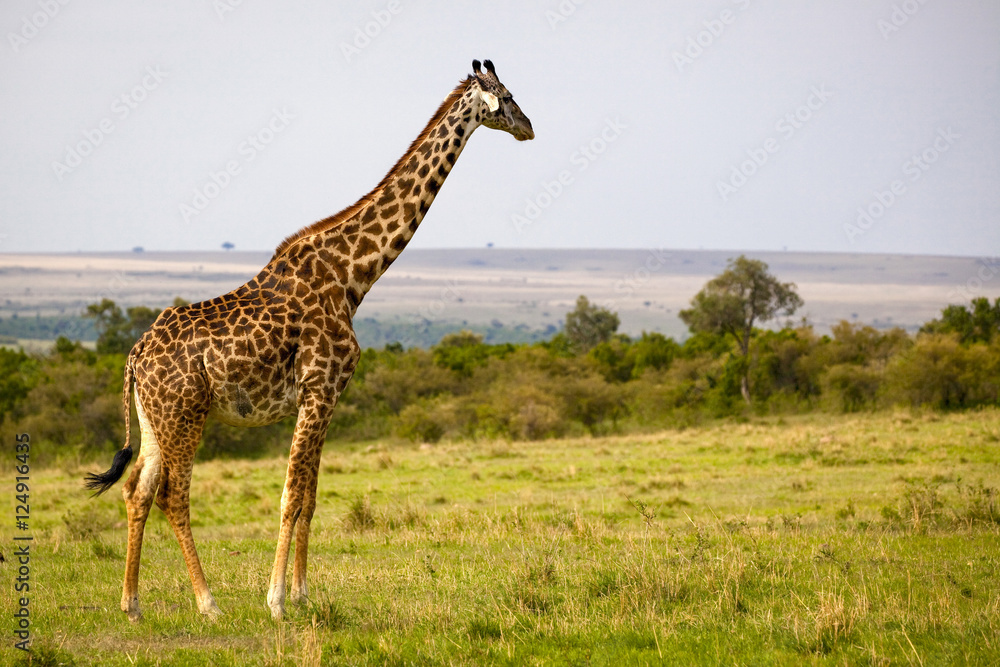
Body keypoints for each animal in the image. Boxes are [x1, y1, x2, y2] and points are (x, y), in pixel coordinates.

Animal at [84, 59, 533, 622]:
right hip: (185, 414)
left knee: (136, 491)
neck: (353, 276)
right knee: (173, 496)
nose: (529, 127)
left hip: (154, 419)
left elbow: (311, 498)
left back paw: (132, 604)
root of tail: (134, 356)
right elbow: (292, 495)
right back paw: (208, 604)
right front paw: (276, 601)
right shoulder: (320, 388)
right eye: (509, 96)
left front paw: (301, 595)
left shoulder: (326, 397)